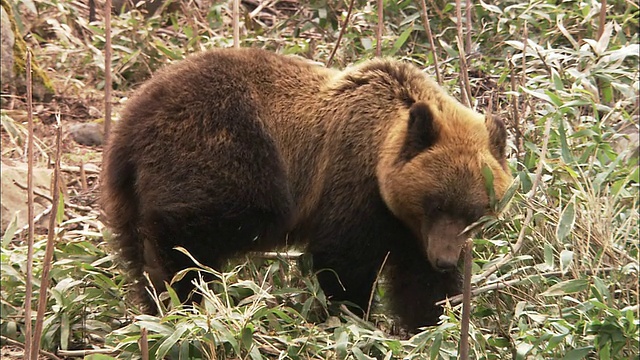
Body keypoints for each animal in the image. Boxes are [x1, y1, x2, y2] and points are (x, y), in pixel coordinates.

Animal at [102, 48, 512, 332]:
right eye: (435, 203)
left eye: (475, 213)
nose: (445, 258)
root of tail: (129, 122)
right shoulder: (351, 186)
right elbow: (344, 263)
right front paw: (352, 317)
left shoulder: (410, 231)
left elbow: (422, 285)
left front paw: (432, 323)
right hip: (224, 149)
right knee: (188, 235)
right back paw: (178, 295)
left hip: (127, 196)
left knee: (138, 249)